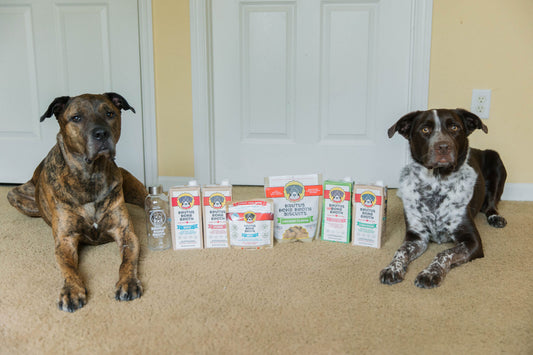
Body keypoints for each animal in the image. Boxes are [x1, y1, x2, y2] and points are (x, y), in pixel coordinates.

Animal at [8, 93, 145, 312]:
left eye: (110, 113)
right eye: (76, 118)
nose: (101, 133)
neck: (91, 176)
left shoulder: (126, 232)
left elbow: (127, 261)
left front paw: (128, 282)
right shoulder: (65, 240)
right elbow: (69, 268)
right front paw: (71, 291)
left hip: (128, 179)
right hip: (14, 195)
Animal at [380, 108, 504, 290]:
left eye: (454, 127)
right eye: (425, 129)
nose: (443, 146)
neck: (436, 184)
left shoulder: (472, 240)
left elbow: (444, 253)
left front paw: (430, 273)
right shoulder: (416, 236)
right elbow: (400, 251)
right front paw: (392, 268)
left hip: (496, 159)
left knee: (492, 203)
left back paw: (495, 217)